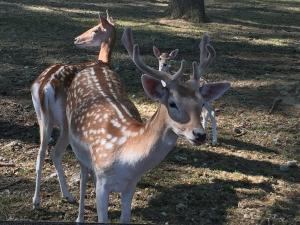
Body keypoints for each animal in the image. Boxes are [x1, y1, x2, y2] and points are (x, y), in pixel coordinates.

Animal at [65, 27, 230, 222]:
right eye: (172, 103)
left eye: (201, 103)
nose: (200, 135)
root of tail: (90, 68)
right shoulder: (102, 181)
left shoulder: (131, 185)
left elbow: (125, 219)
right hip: (79, 151)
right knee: (83, 178)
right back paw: (79, 217)